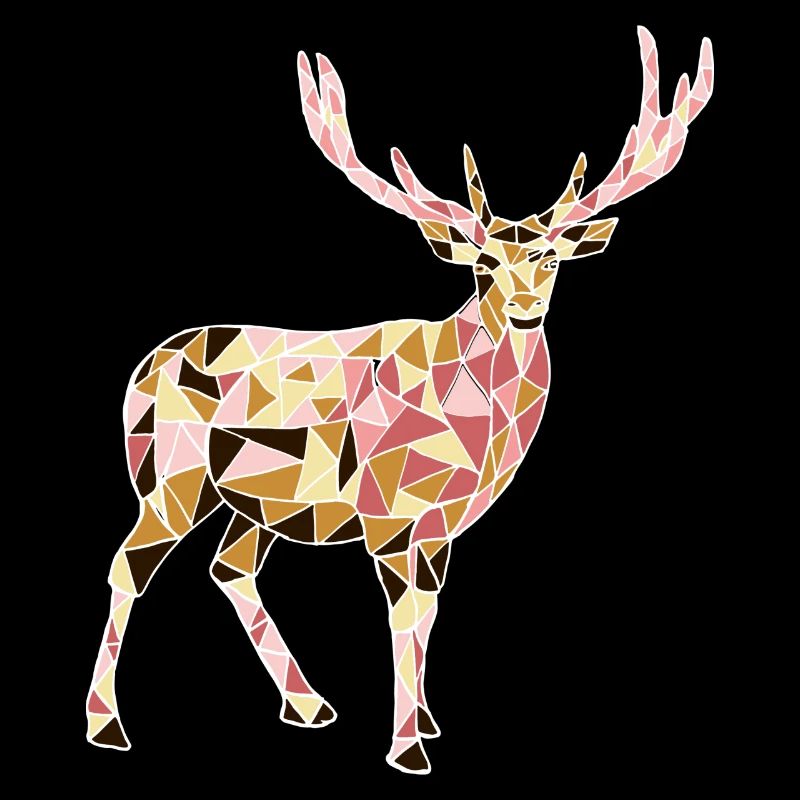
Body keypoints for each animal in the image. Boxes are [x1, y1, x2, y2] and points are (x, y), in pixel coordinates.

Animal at [86, 27, 714, 774]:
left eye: (553, 259)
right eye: (483, 264)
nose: (526, 307)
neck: (471, 422)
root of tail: (141, 371)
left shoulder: (441, 527)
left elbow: (431, 613)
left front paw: (428, 722)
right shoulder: (388, 510)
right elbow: (404, 614)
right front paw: (407, 747)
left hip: (255, 501)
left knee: (228, 569)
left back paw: (309, 705)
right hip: (170, 474)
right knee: (129, 563)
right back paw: (106, 725)